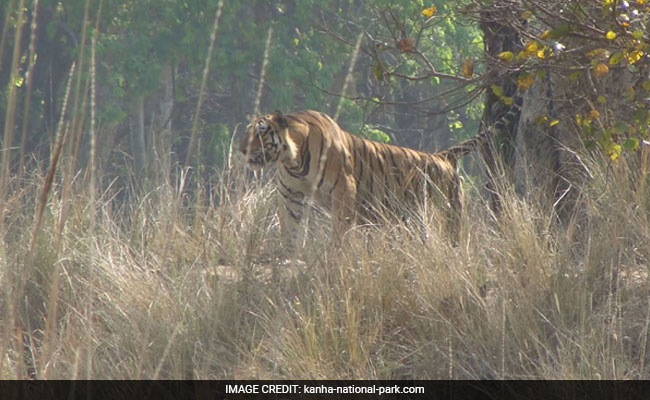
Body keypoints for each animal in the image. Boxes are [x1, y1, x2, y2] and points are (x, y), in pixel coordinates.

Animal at [240, 108, 484, 248]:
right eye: (247, 131)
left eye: (260, 132)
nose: (242, 149)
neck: (294, 160)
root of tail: (442, 156)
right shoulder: (290, 195)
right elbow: (291, 228)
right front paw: (290, 258)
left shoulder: (343, 189)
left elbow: (340, 229)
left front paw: (336, 254)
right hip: (414, 219)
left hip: (448, 210)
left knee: (454, 238)